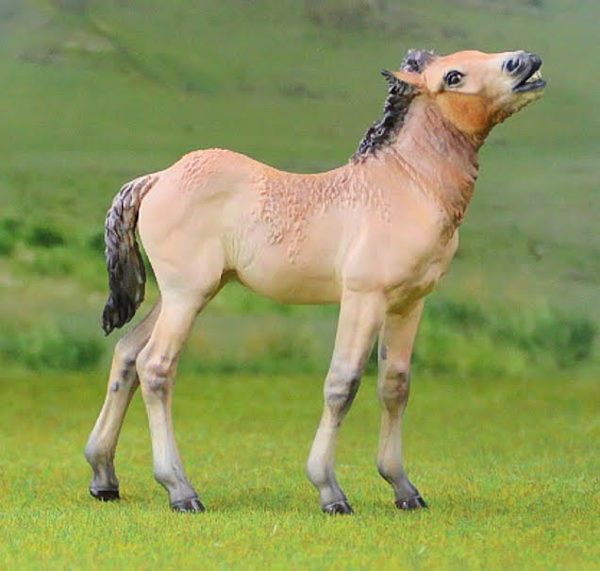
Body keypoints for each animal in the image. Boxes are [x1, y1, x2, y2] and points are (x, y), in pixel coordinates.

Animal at [85, 49, 545, 514]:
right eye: (453, 76)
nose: (525, 61)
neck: (403, 189)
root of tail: (157, 178)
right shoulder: (363, 298)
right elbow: (343, 384)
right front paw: (330, 492)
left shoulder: (409, 303)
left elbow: (395, 386)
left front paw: (403, 488)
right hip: (186, 296)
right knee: (155, 367)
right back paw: (180, 490)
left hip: (185, 293)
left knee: (127, 354)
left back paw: (104, 478)